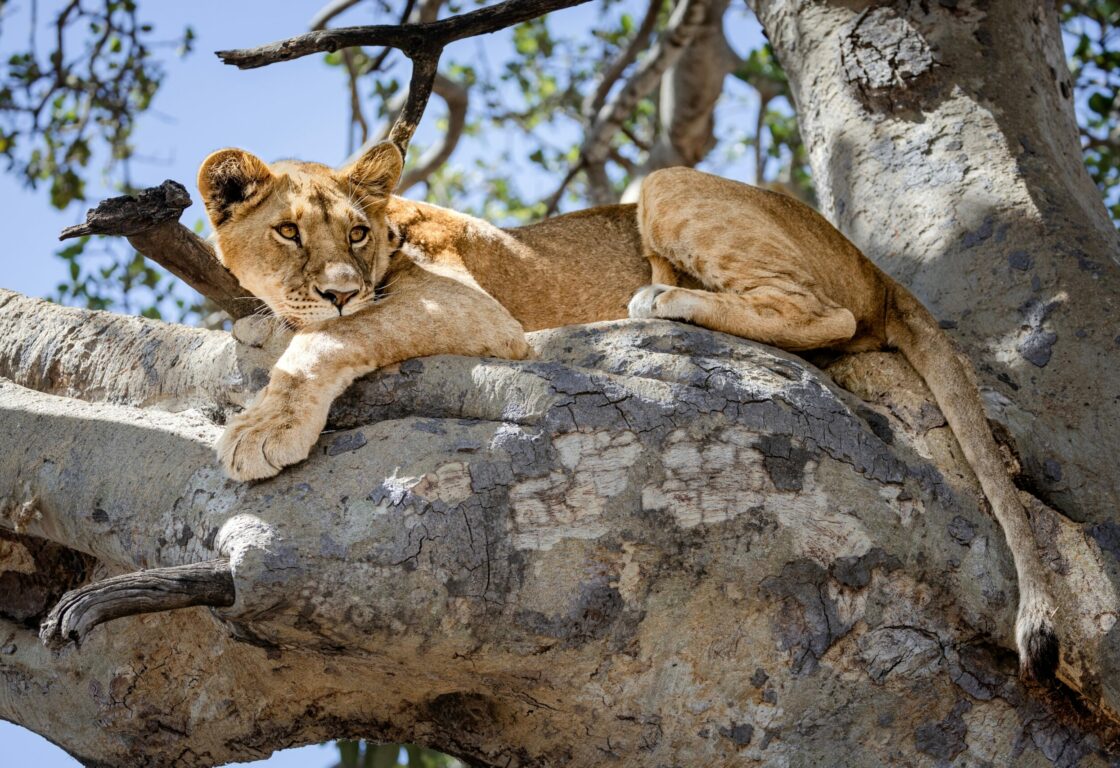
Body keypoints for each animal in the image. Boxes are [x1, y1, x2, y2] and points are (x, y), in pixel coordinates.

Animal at [197, 140, 1058, 681]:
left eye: (356, 233)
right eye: (287, 231)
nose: (341, 287)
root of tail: (875, 267)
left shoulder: (475, 312)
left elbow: (329, 342)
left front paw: (264, 428)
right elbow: (287, 327)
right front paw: (259, 327)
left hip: (671, 187)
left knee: (826, 316)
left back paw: (664, 300)